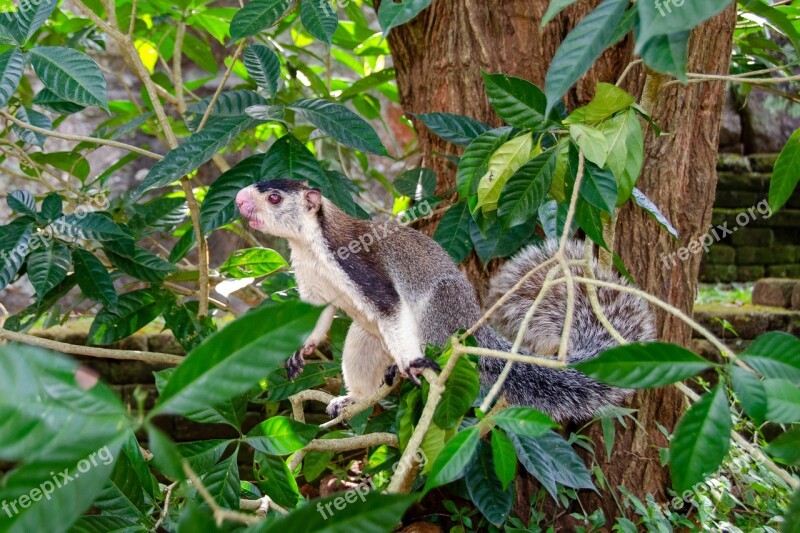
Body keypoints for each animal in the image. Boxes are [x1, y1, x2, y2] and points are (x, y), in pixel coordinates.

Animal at [234, 181, 652, 422]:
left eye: (274, 198)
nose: (238, 199)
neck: (309, 247)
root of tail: (470, 323)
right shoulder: (311, 285)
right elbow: (317, 317)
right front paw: (300, 351)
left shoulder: (359, 265)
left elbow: (390, 305)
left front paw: (412, 364)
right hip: (365, 342)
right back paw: (354, 399)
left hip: (439, 312)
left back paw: (407, 366)